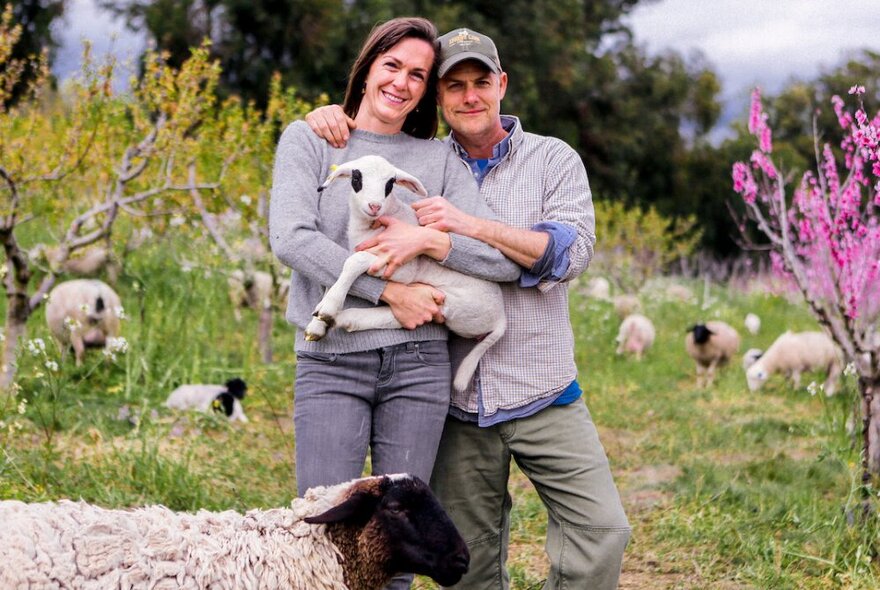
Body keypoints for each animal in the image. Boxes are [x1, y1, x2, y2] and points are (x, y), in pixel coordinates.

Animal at [306, 157, 506, 396]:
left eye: (390, 183)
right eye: (356, 177)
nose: (374, 206)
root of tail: (501, 319)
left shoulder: (400, 267)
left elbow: (354, 261)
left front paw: (328, 310)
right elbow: (336, 275)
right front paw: (318, 321)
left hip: (456, 307)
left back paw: (344, 318)